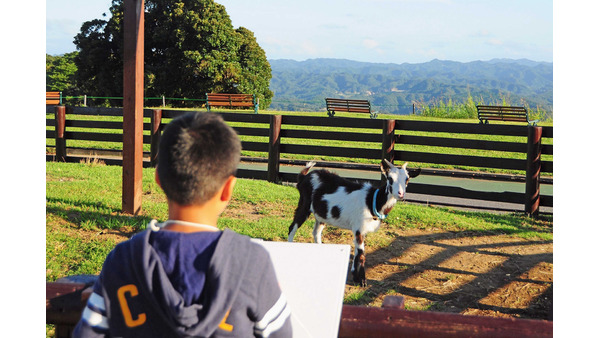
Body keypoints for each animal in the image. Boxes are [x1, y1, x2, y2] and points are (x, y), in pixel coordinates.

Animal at [288, 160, 420, 286]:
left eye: (407, 179)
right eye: (390, 178)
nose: (400, 194)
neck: (371, 200)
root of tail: (304, 177)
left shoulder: (362, 229)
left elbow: (357, 251)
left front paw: (355, 276)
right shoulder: (359, 227)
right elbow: (361, 253)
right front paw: (361, 281)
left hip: (321, 214)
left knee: (316, 232)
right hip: (304, 204)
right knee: (292, 227)